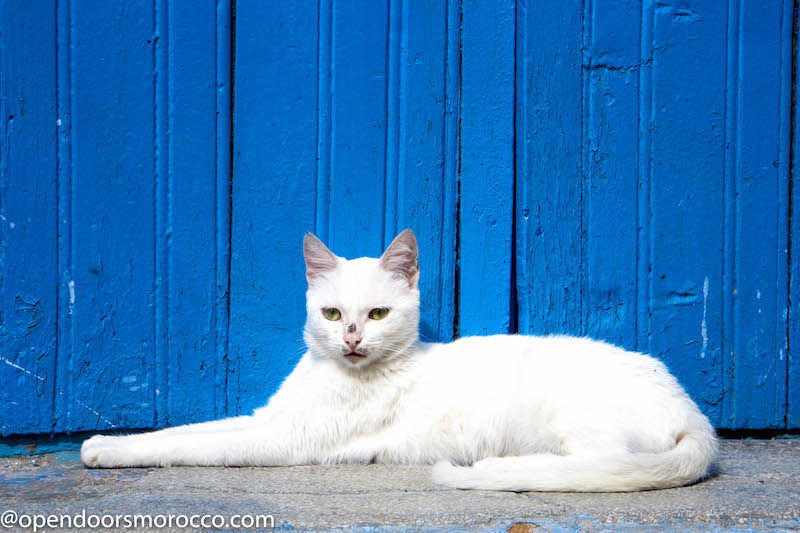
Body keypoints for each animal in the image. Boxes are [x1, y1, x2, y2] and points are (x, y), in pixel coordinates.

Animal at [83, 229, 720, 490]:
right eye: (333, 314)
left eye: (379, 313)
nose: (352, 339)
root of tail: (695, 416)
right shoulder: (269, 420)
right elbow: (186, 429)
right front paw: (106, 443)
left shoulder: (280, 439)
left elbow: (187, 442)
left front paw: (110, 450)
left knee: (602, 462)